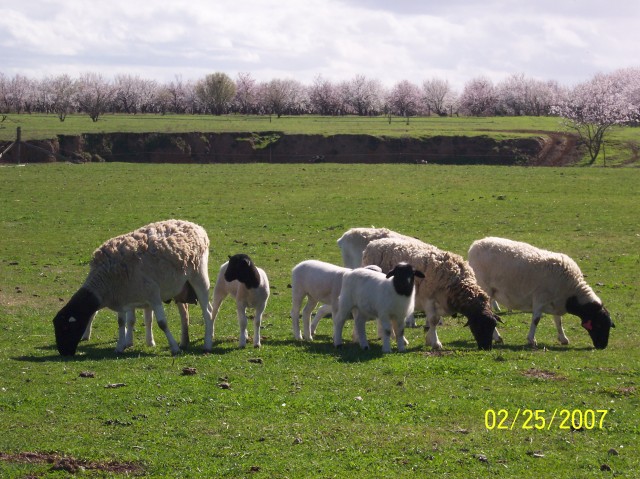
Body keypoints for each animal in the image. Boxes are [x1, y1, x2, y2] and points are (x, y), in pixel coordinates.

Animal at [53, 221, 214, 356]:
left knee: (208, 311)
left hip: (199, 277)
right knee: (189, 312)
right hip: (180, 288)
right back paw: (192, 341)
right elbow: (121, 322)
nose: (64, 352)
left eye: (66, 328)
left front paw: (174, 348)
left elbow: (162, 323)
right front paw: (119, 347)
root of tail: (197, 227)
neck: (106, 280)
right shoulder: (123, 297)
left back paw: (207, 344)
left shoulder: (153, 294)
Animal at [362, 238, 502, 350]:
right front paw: (435, 342)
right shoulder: (428, 298)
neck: (456, 281)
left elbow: (436, 320)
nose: (486, 347)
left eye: (493, 326)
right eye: (479, 326)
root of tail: (372, 244)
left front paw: (429, 339)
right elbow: (433, 320)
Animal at [464, 238, 616, 350]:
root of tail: (475, 245)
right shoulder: (540, 297)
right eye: (598, 325)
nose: (602, 346)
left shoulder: (556, 301)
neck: (572, 291)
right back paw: (497, 337)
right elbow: (536, 320)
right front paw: (531, 340)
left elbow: (558, 321)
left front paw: (563, 338)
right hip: (485, 287)